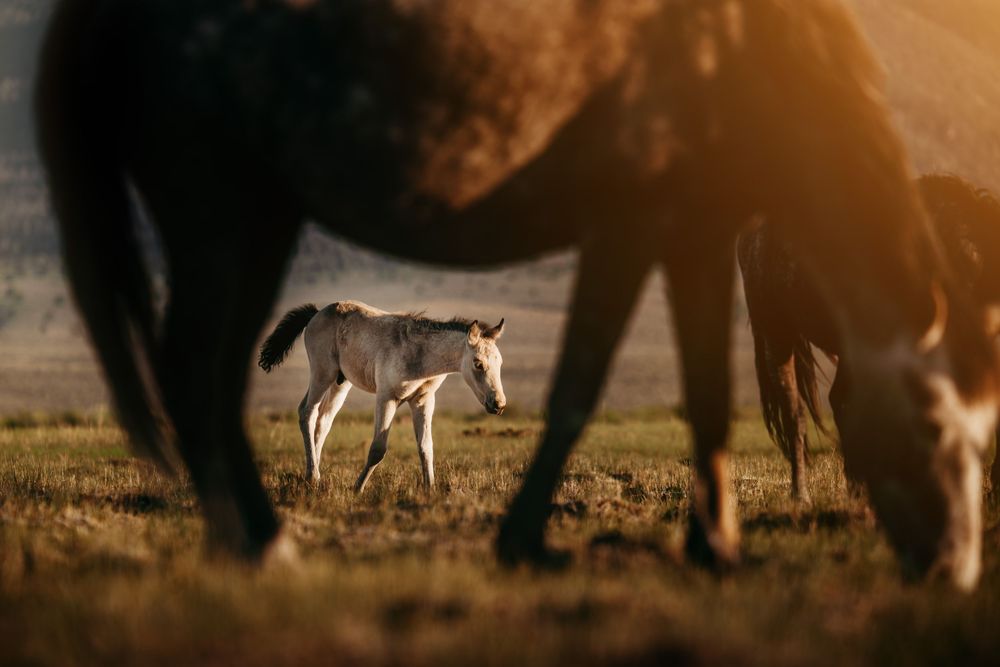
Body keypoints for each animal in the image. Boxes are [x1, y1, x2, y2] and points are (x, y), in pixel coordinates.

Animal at [257, 301, 506, 490]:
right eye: (478, 363)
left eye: (500, 363)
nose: (499, 404)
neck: (420, 356)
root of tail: (317, 313)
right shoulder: (387, 398)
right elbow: (378, 449)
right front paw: (357, 489)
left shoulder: (423, 401)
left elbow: (426, 447)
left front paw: (430, 490)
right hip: (322, 374)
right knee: (307, 413)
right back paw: (313, 476)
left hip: (340, 382)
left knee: (323, 421)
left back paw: (314, 473)